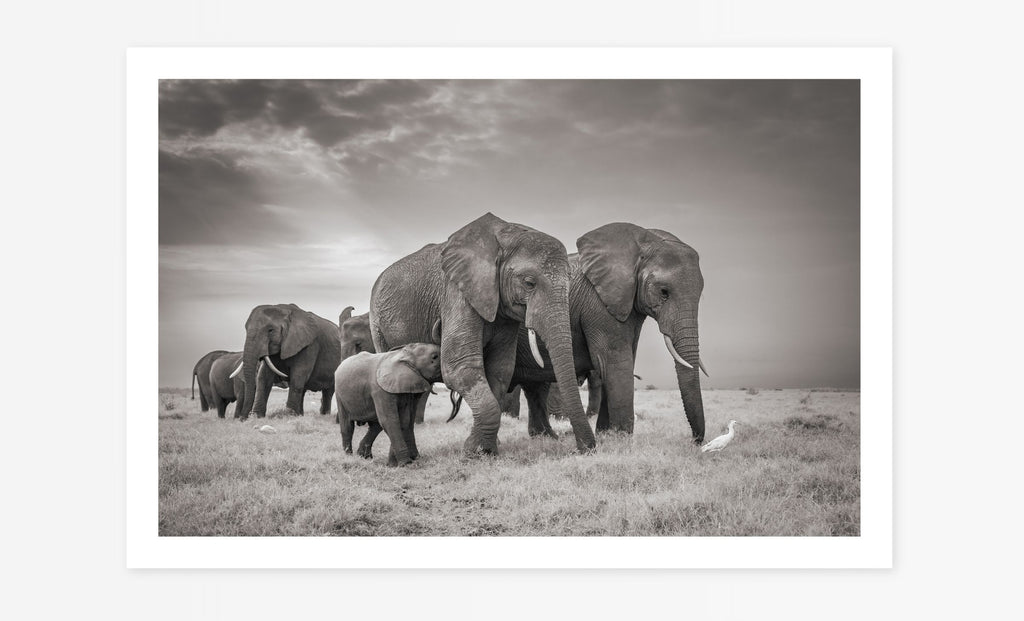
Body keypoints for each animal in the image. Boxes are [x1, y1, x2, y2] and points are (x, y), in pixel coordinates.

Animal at [370, 213, 596, 456]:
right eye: (529, 283)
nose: (584, 449)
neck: (505, 235)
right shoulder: (456, 292)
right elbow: (459, 366)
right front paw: (473, 452)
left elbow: (500, 369)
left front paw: (483, 449)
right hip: (378, 326)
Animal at [510, 223, 708, 444]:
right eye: (664, 291)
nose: (694, 441)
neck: (640, 243)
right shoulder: (598, 304)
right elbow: (615, 362)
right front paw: (621, 439)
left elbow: (616, 363)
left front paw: (606, 434)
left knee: (535, 389)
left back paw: (547, 437)